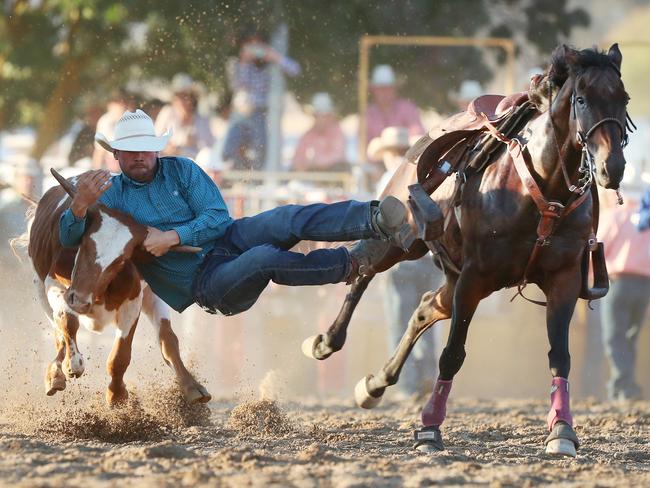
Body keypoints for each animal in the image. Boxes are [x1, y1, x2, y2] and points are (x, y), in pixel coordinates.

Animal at [302, 43, 628, 456]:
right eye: (582, 99)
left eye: (623, 99)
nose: (612, 167)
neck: (542, 187)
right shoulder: (475, 276)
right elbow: (453, 353)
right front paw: (429, 429)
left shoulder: (563, 279)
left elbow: (560, 356)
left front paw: (562, 430)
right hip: (402, 238)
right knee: (362, 271)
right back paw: (326, 342)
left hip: (451, 276)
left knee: (424, 308)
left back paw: (374, 385)